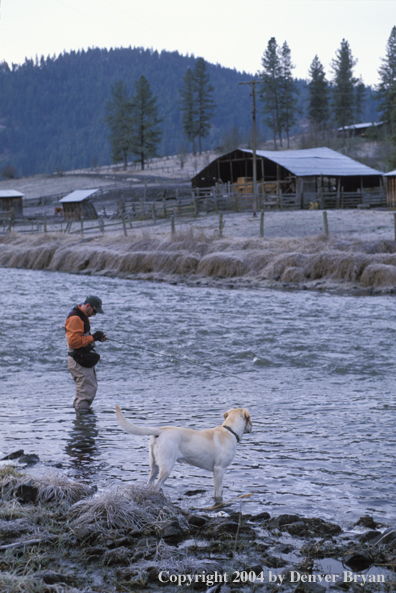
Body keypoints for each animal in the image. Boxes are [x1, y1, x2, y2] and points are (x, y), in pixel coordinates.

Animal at [115, 404, 251, 498]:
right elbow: (219, 491)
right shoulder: (219, 469)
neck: (230, 431)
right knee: (157, 485)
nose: (251, 428)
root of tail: (160, 430)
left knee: (149, 483)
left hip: (155, 466)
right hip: (167, 467)